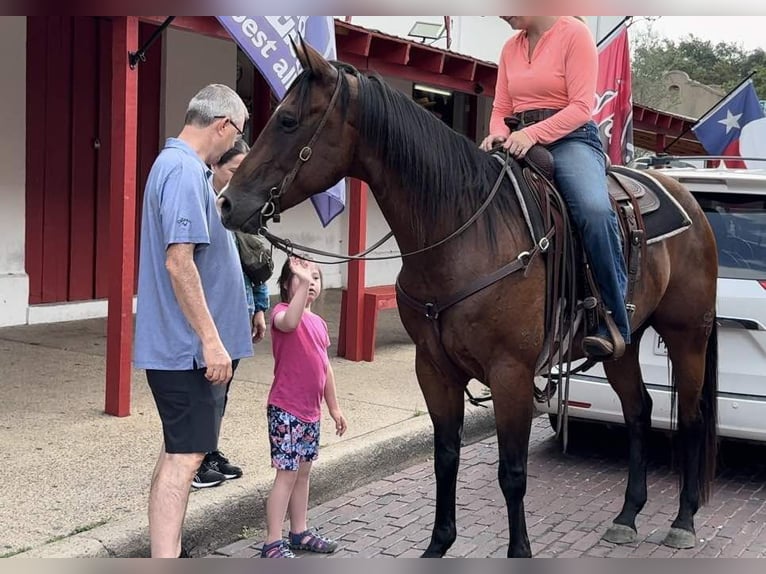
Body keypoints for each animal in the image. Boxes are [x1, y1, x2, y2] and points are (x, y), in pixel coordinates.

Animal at [218, 39, 719, 558]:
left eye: (287, 120)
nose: (228, 202)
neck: (464, 231)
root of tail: (690, 201)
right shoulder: (434, 368)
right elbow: (446, 456)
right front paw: (438, 545)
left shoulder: (511, 374)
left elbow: (512, 472)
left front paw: (519, 552)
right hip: (625, 342)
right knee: (638, 410)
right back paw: (627, 515)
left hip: (687, 336)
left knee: (692, 417)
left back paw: (683, 520)